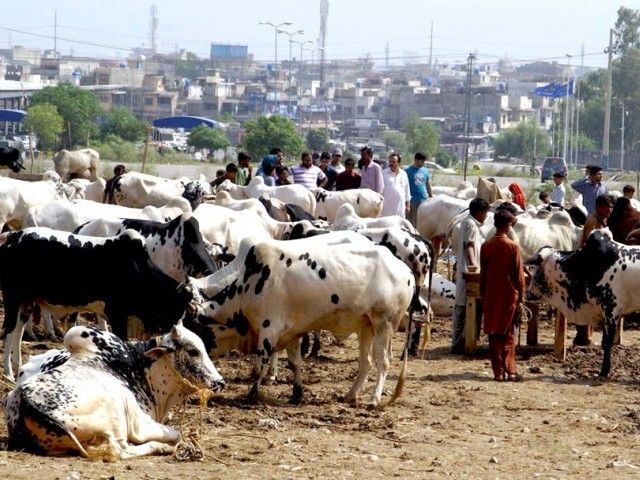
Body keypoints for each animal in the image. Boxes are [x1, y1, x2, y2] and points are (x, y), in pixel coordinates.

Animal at [0, 227, 195, 380]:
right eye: (178, 308)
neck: (139, 270)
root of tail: (13, 236)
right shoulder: (118, 315)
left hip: (27, 301)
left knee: (19, 330)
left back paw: (18, 366)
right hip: (12, 297)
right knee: (9, 330)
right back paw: (8, 373)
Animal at [5, 320, 224, 460]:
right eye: (193, 351)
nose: (220, 382)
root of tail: (26, 403)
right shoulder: (140, 423)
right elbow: (176, 434)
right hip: (116, 417)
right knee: (122, 450)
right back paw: (161, 447)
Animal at [184, 232, 416, 404]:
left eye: (195, 329)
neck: (248, 283)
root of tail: (406, 271)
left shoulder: (268, 329)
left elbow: (259, 366)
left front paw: (251, 395)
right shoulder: (292, 333)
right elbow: (295, 364)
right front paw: (297, 394)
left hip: (384, 324)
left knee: (382, 361)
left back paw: (374, 399)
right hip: (365, 326)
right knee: (365, 362)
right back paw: (350, 395)